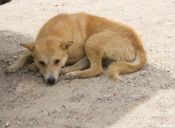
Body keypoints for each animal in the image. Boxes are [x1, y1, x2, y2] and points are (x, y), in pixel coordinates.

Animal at [5, 12, 146, 85]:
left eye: (57, 61)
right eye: (42, 62)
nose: (50, 81)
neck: (53, 32)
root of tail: (138, 43)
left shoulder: (76, 55)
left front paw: (33, 66)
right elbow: (25, 55)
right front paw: (13, 66)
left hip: (91, 42)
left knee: (96, 69)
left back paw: (72, 74)